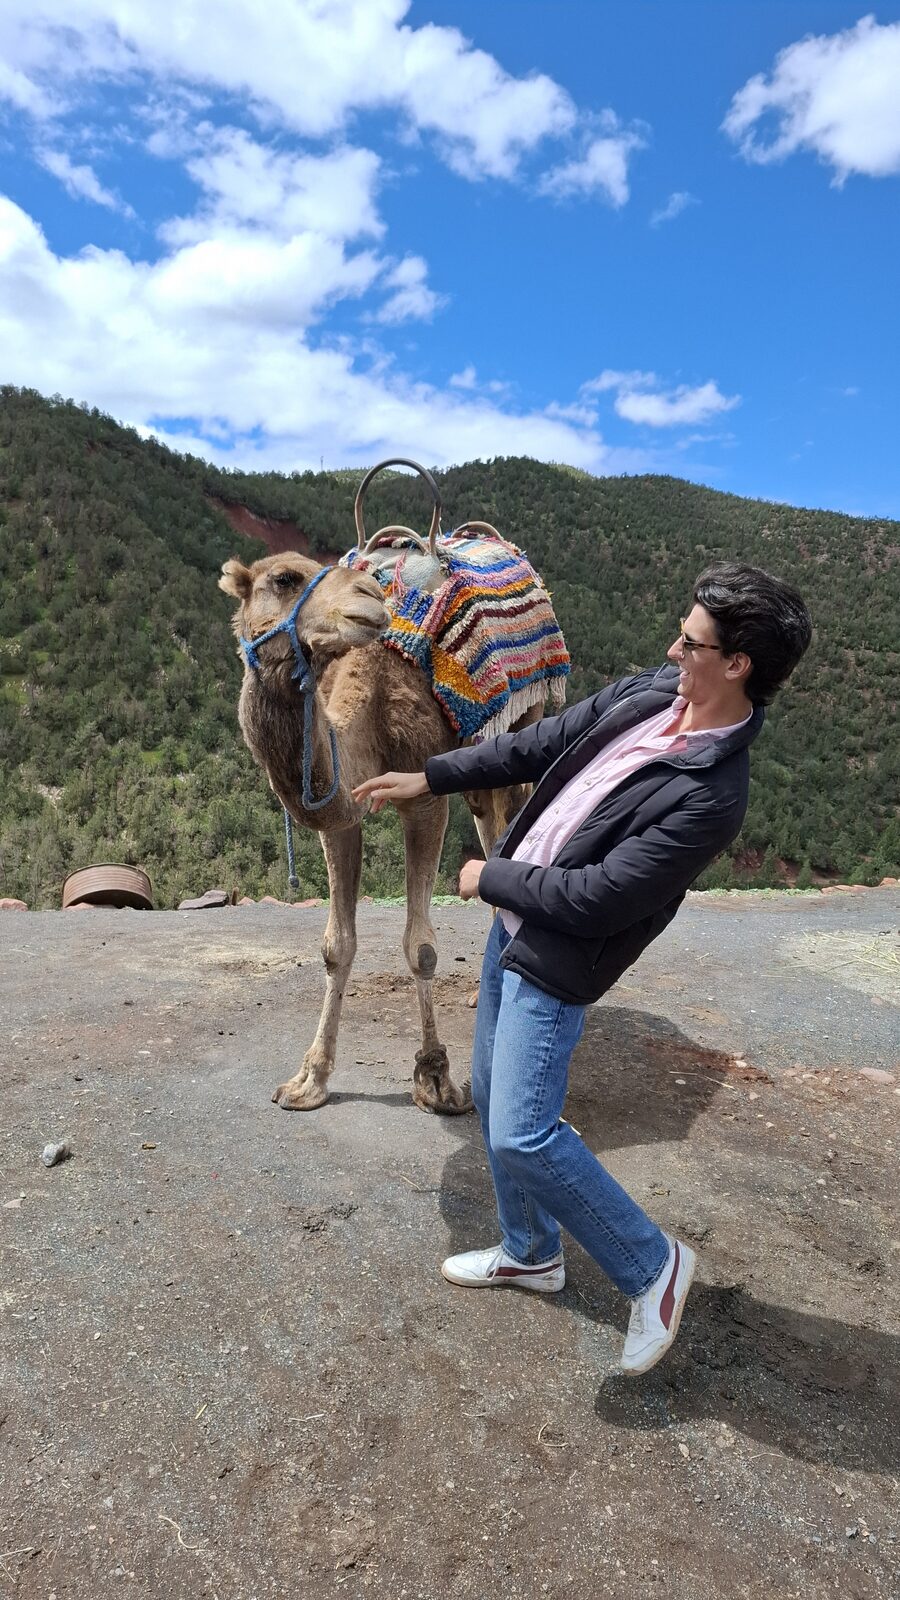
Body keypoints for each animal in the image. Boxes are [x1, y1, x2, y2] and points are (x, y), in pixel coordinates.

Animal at [219, 497, 563, 1115]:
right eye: (284, 579)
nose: (368, 598)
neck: (368, 713)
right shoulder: (340, 814)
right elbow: (336, 946)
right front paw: (309, 1079)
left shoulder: (423, 797)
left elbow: (420, 946)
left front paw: (437, 1079)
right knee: (490, 825)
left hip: (525, 719)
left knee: (508, 826)